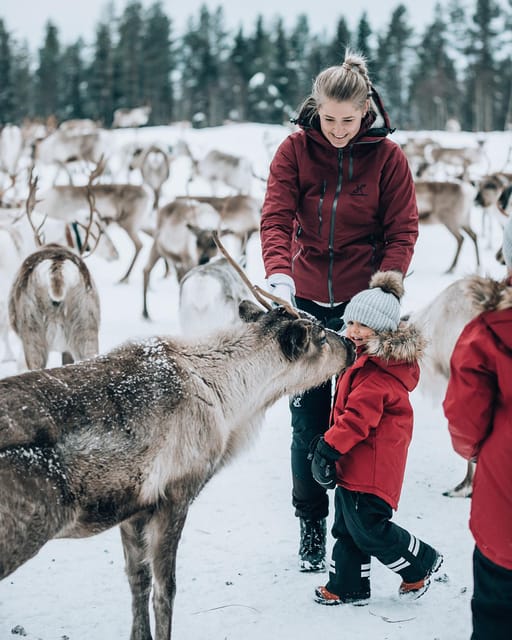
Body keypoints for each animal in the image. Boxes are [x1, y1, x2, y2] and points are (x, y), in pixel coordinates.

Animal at [0, 251, 355, 640]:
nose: (352, 345)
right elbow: (165, 588)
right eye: (320, 334)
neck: (229, 402)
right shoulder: (175, 494)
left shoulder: (132, 508)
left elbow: (137, 581)